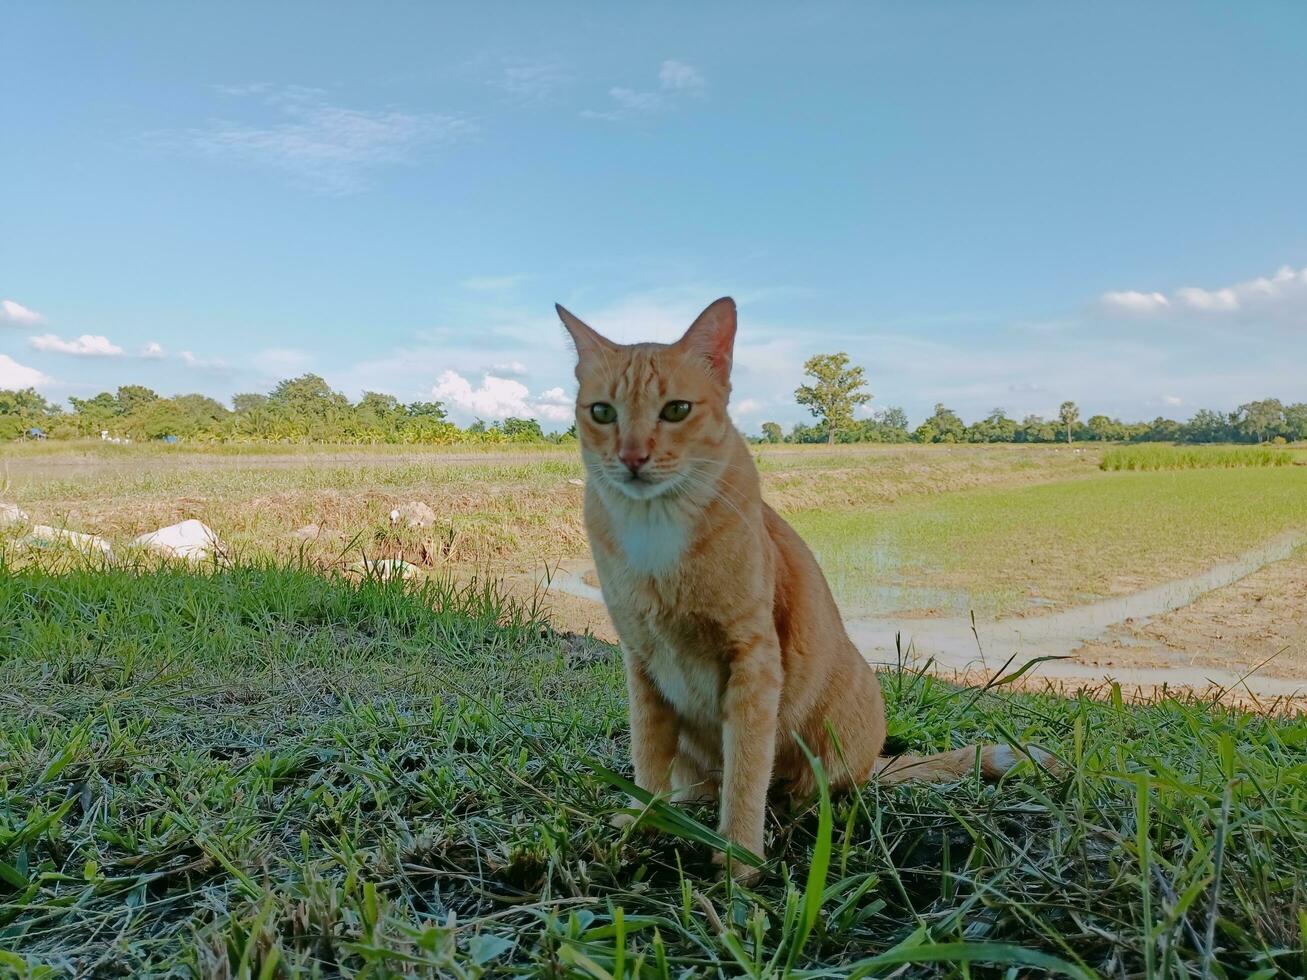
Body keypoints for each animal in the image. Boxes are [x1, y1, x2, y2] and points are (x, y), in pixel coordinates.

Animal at [556, 297, 1045, 872]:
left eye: (676, 410)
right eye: (602, 413)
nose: (632, 458)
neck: (656, 528)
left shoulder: (754, 660)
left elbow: (747, 769)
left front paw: (739, 857)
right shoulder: (642, 662)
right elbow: (647, 756)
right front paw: (642, 822)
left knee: (813, 787)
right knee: (701, 782)